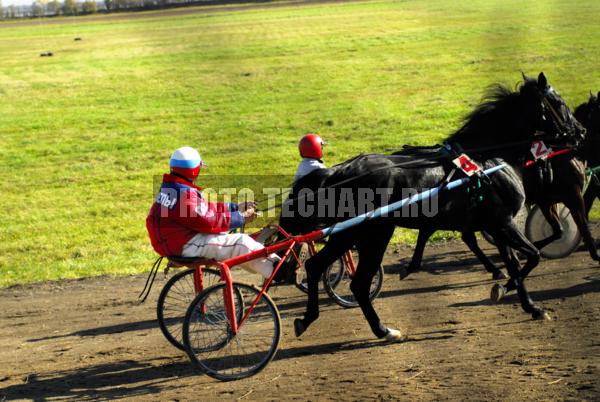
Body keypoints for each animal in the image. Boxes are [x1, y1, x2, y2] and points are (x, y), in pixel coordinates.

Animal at [282, 72, 584, 340]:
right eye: (558, 102)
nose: (580, 132)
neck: (486, 160)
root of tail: (338, 172)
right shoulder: (504, 222)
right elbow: (532, 256)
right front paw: (509, 290)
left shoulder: (496, 225)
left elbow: (514, 262)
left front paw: (527, 304)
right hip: (372, 233)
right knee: (358, 283)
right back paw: (384, 330)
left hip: (348, 233)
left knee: (315, 266)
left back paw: (307, 319)